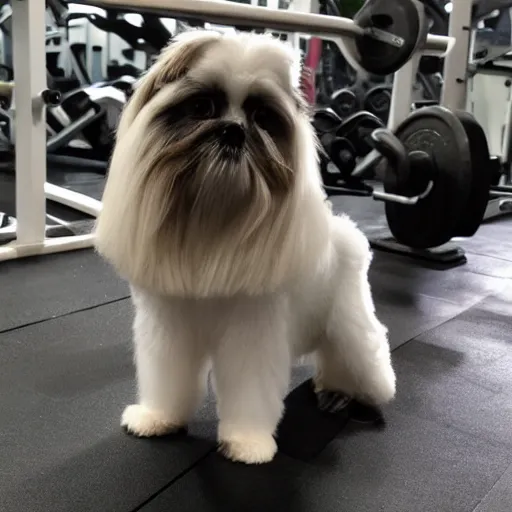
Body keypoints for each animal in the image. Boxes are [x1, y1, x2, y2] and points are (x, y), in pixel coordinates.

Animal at [94, 30, 394, 466]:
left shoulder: (252, 335)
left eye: (263, 118)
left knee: (365, 363)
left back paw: (347, 396)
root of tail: (346, 233)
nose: (234, 130)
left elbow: (250, 391)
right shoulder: (169, 328)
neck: (215, 217)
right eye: (202, 107)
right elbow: (168, 376)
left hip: (350, 328)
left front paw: (248, 444)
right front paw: (158, 418)